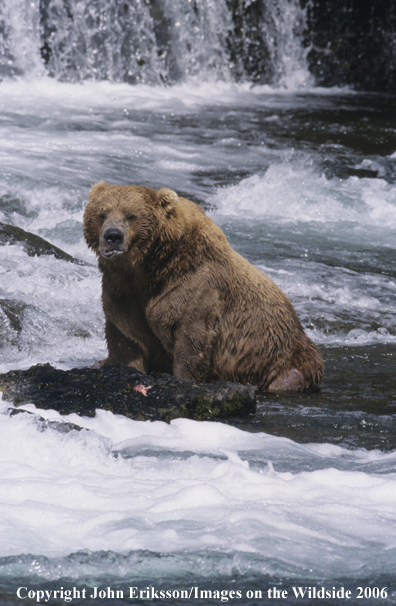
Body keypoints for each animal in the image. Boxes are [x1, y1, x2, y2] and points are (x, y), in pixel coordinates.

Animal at [84, 183, 324, 392]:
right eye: (102, 213)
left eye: (131, 215)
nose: (113, 236)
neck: (148, 266)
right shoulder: (122, 289)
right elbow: (127, 336)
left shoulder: (197, 286)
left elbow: (191, 339)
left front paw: (183, 378)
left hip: (284, 358)